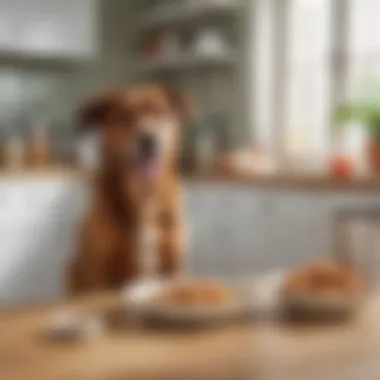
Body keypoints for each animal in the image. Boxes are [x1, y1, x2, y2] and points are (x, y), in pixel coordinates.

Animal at [69, 84, 190, 296]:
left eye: (159, 112)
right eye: (125, 116)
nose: (148, 140)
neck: (143, 193)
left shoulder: (174, 262)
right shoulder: (98, 269)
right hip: (72, 268)